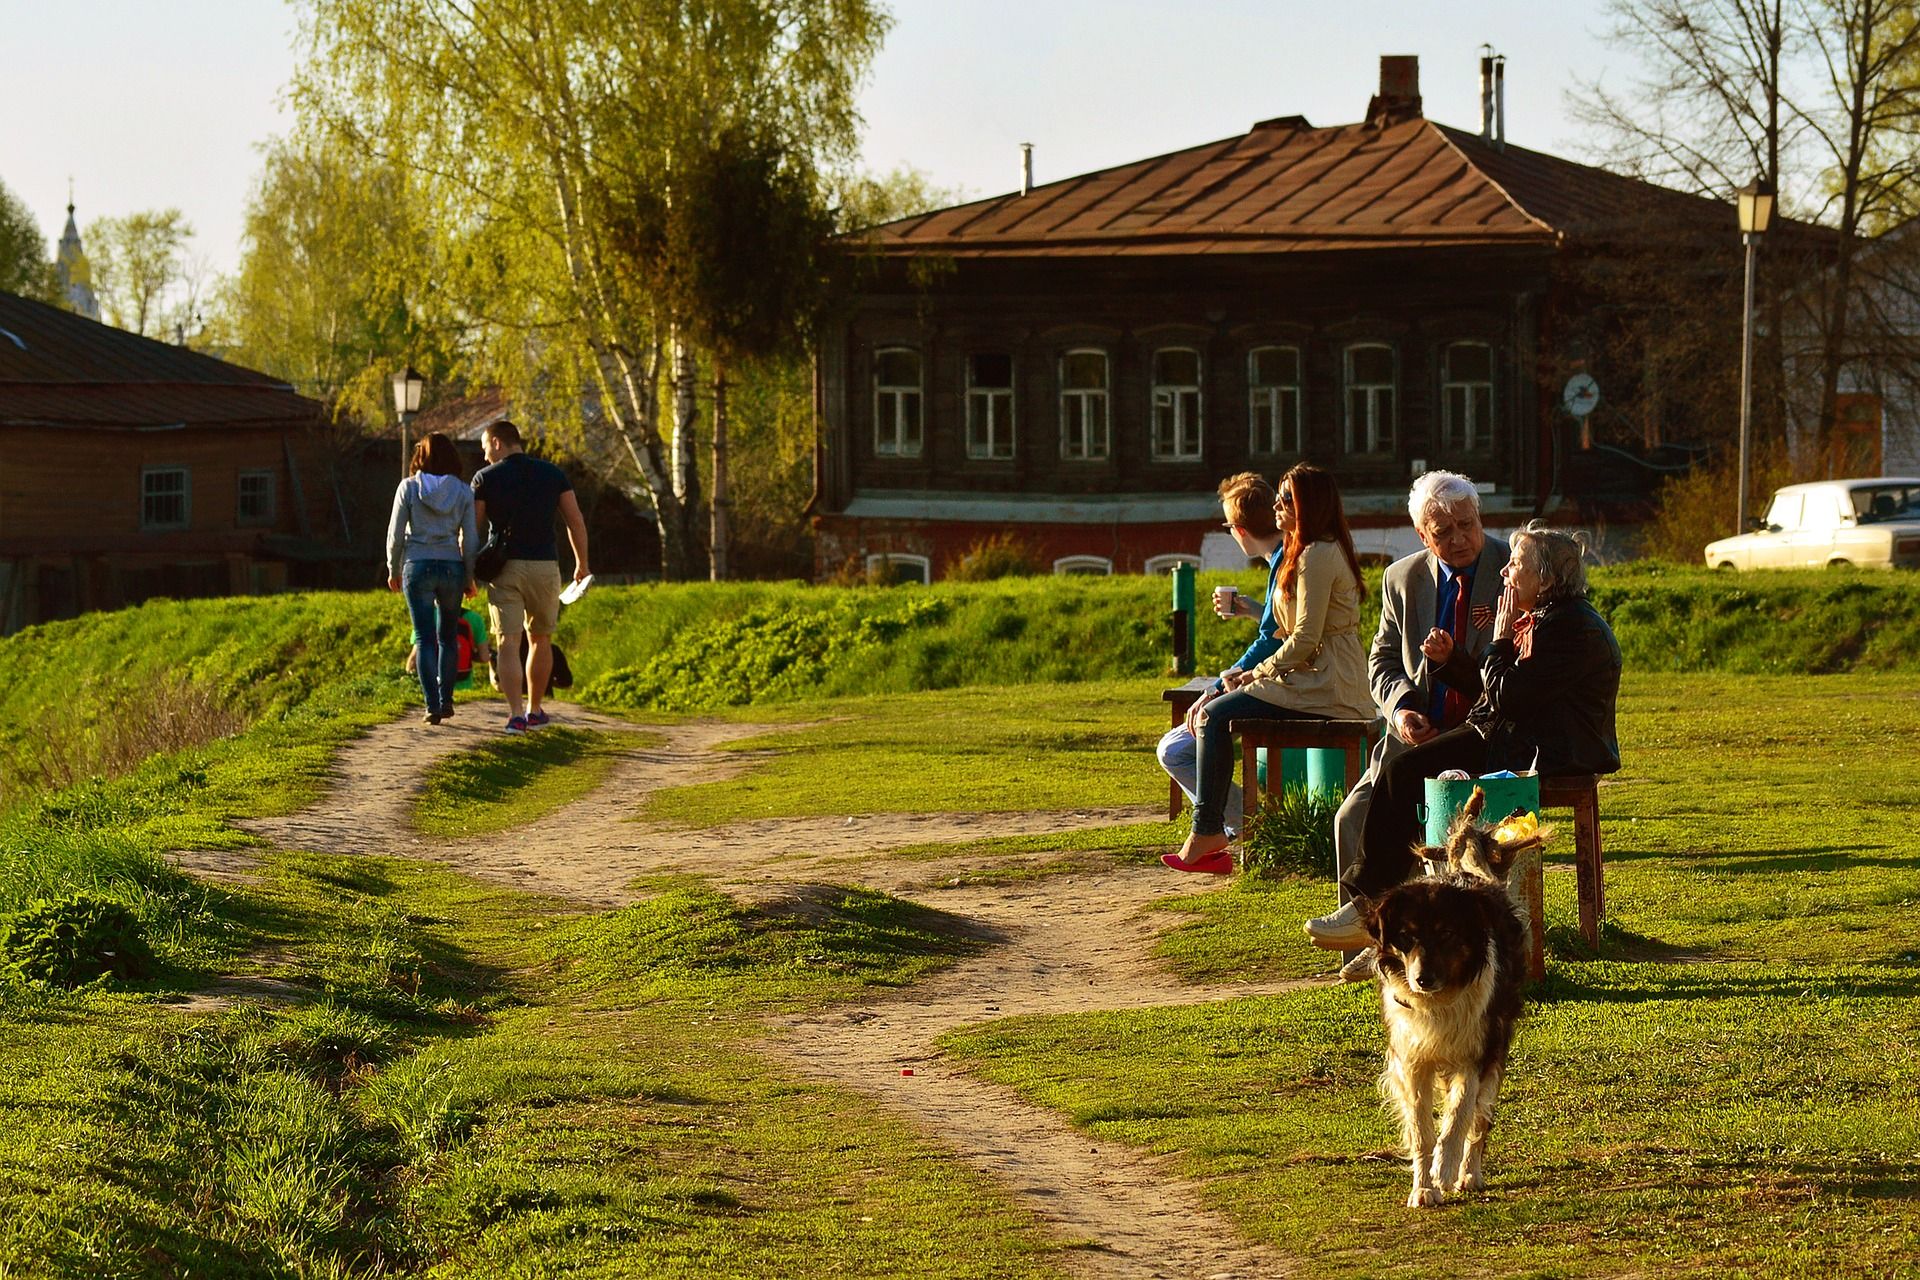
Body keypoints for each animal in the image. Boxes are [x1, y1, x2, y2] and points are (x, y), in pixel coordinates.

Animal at [1367, 790, 1528, 1212]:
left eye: (1447, 934)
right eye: (1405, 937)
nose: (1422, 979)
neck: (1440, 999)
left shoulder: (1476, 1052)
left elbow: (1457, 1117)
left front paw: (1446, 1168)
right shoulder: (1412, 1058)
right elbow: (1422, 1129)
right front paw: (1423, 1187)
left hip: (1497, 1046)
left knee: (1480, 1119)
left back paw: (1469, 1174)